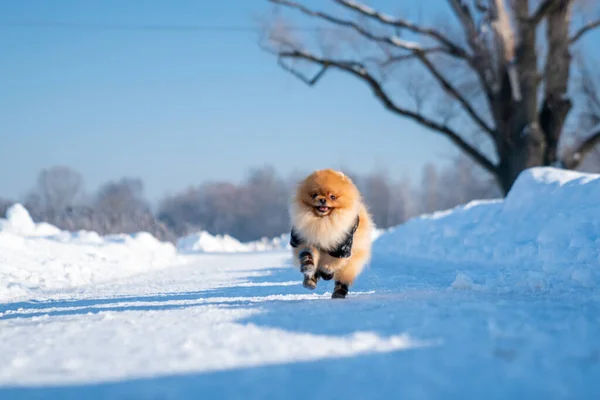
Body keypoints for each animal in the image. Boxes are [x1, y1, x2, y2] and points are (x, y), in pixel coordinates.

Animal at [288, 168, 372, 296]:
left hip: (353, 260)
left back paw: (339, 292)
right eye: (314, 195)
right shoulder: (303, 239)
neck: (323, 222)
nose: (322, 199)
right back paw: (310, 280)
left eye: (332, 197)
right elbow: (307, 253)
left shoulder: (342, 249)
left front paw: (327, 271)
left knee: (343, 277)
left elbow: (332, 263)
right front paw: (308, 266)